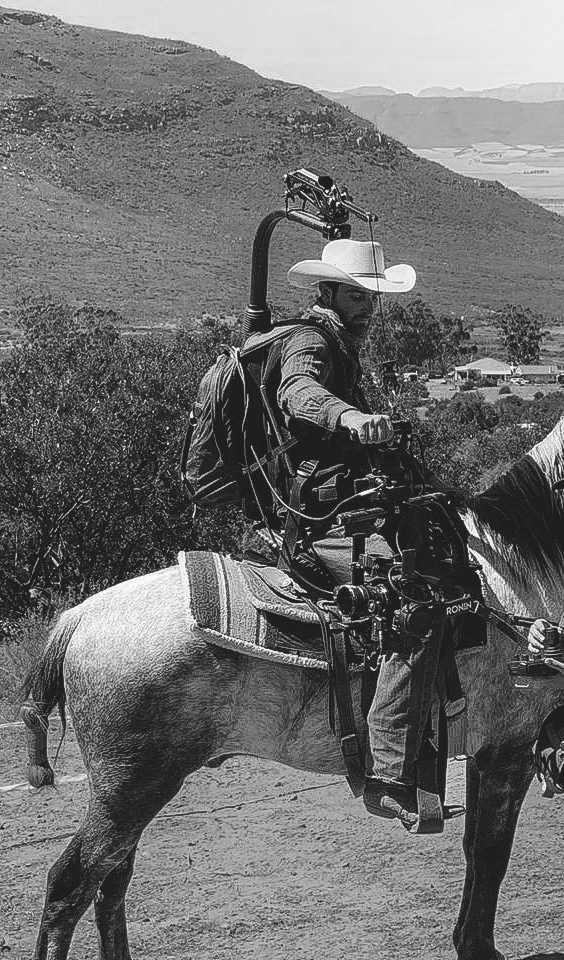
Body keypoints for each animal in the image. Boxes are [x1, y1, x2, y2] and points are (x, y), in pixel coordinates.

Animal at [25, 418, 564, 960]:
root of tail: (76, 619)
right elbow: (491, 854)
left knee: (110, 886)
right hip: (128, 792)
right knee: (69, 886)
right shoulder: (511, 748)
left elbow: (477, 850)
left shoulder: (488, 749)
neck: (513, 581)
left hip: (127, 796)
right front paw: (478, 947)